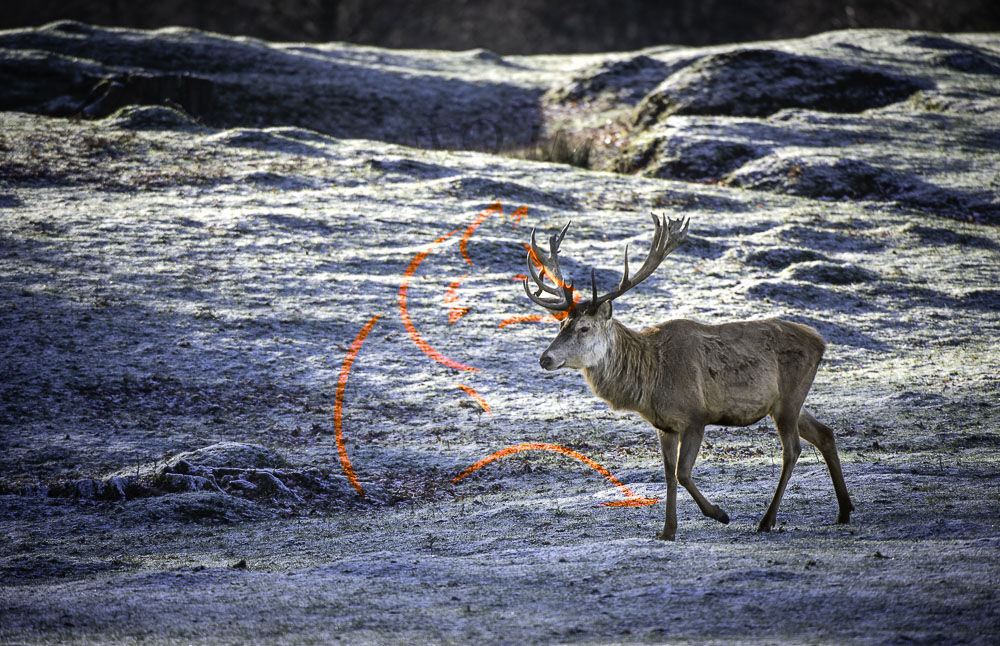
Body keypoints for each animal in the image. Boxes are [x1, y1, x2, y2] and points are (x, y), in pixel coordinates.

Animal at [522, 214, 854, 540]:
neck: (651, 378)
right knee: (824, 433)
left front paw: (719, 514)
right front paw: (667, 530)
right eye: (561, 324)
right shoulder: (664, 425)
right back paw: (844, 510)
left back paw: (767, 520)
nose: (545, 358)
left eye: (584, 328)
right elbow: (669, 474)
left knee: (792, 450)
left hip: (789, 398)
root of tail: (820, 342)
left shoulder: (696, 416)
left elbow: (682, 473)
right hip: (785, 402)